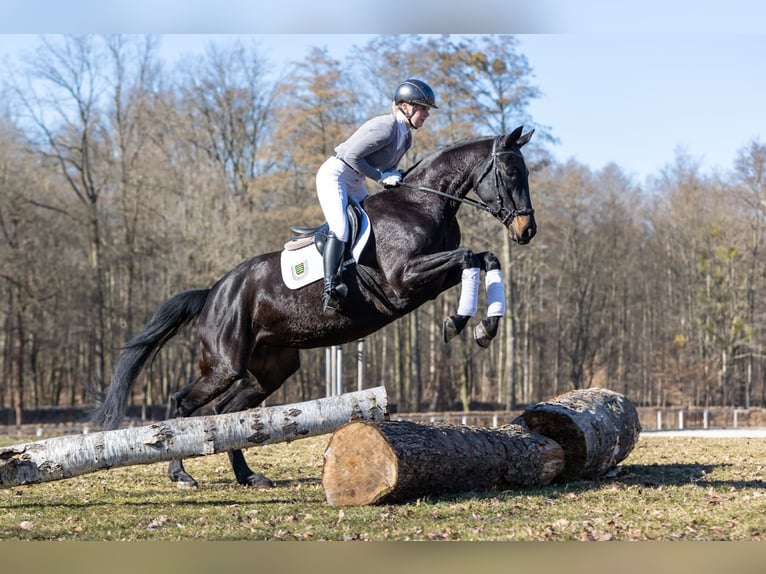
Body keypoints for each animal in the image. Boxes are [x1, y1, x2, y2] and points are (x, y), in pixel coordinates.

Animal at [92, 126, 536, 488]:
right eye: (511, 173)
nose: (527, 229)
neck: (422, 203)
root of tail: (215, 291)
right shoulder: (404, 280)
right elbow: (469, 256)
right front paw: (459, 322)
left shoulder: (428, 280)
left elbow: (485, 258)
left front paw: (484, 328)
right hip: (223, 364)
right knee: (184, 403)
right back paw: (180, 473)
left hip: (271, 369)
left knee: (230, 413)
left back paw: (248, 476)